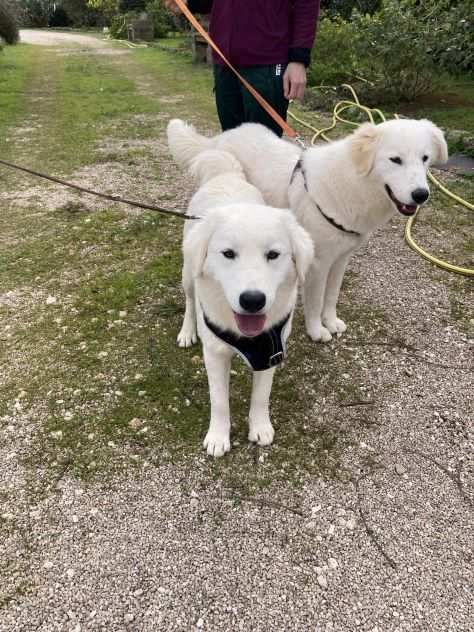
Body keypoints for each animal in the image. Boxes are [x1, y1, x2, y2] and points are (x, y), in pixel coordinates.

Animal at [168, 113, 448, 340]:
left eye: (425, 159)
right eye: (395, 160)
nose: (421, 195)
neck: (353, 184)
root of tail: (221, 138)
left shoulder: (341, 258)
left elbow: (331, 296)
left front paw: (331, 322)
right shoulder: (317, 264)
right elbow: (315, 301)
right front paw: (317, 331)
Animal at [172, 144, 312, 454]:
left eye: (273, 255)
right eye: (228, 254)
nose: (252, 300)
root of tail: (227, 174)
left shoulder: (271, 352)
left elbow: (261, 396)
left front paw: (260, 428)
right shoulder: (214, 354)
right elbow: (219, 401)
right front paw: (218, 437)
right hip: (188, 273)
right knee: (189, 302)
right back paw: (187, 331)